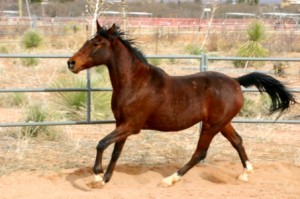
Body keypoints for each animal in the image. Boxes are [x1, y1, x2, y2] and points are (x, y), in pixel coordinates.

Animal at [67, 22, 296, 187]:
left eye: (97, 43)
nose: (71, 63)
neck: (135, 83)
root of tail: (235, 81)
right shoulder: (121, 124)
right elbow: (115, 151)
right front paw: (104, 179)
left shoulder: (132, 126)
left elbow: (102, 143)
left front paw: (96, 175)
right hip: (222, 123)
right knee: (237, 141)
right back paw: (246, 174)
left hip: (211, 126)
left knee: (200, 153)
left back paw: (169, 180)